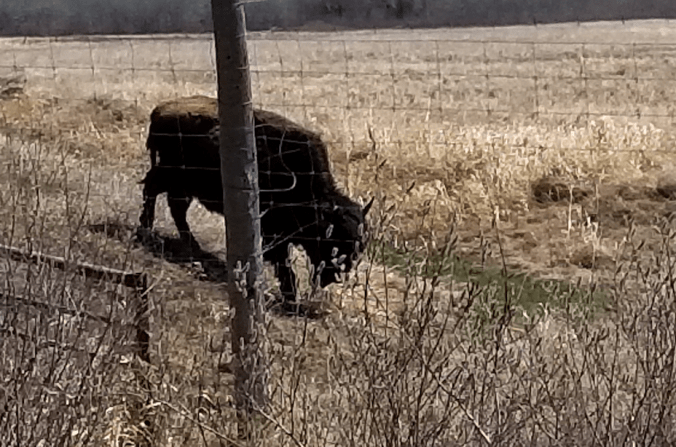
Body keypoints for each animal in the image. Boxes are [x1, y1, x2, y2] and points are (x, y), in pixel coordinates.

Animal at [138, 96, 372, 311]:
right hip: (173, 176)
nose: (333, 276)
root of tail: (159, 110)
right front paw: (291, 298)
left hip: (183, 184)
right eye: (332, 239)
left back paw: (189, 243)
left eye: (358, 245)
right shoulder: (273, 231)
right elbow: (283, 263)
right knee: (153, 192)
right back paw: (148, 231)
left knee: (173, 205)